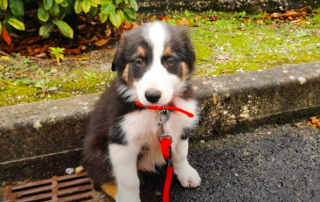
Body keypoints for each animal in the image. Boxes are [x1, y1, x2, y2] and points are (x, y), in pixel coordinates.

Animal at [84, 21, 201, 201]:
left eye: (171, 61)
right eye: (138, 62)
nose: (152, 96)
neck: (158, 110)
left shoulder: (181, 126)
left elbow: (181, 153)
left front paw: (186, 174)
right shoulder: (121, 142)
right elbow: (129, 180)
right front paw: (129, 198)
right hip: (96, 152)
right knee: (101, 179)